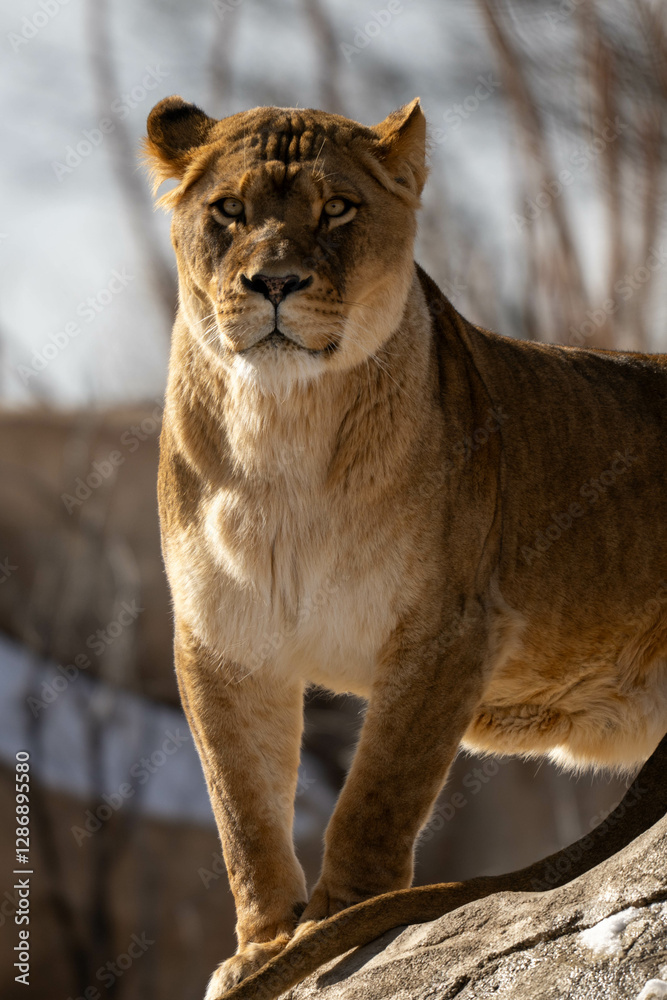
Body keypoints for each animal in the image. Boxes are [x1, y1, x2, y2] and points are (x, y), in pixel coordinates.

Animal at [143, 95, 667, 999]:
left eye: (337, 209)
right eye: (230, 211)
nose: (273, 282)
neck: (280, 425)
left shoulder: (445, 629)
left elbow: (375, 796)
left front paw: (335, 926)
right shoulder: (223, 639)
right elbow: (242, 809)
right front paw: (262, 946)